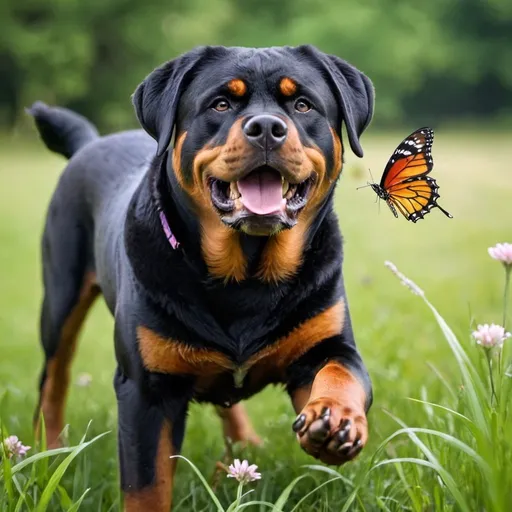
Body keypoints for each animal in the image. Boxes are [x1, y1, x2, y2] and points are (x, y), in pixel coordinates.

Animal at [29, 46, 372, 510]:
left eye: (303, 104)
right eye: (221, 104)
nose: (267, 127)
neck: (246, 279)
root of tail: (91, 142)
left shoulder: (327, 344)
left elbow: (341, 374)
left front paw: (335, 420)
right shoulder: (146, 390)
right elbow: (146, 486)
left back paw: (245, 445)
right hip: (60, 299)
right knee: (53, 378)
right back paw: (46, 454)